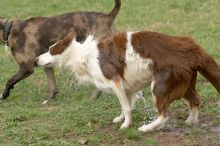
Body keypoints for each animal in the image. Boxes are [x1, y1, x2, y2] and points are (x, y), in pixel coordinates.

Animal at [36, 30, 220, 131]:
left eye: (51, 50)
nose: (36, 59)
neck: (83, 56)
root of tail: (189, 46)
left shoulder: (115, 81)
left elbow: (126, 106)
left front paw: (126, 125)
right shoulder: (128, 86)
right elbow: (128, 106)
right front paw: (121, 118)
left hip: (160, 85)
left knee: (165, 114)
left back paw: (147, 128)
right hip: (184, 83)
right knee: (195, 100)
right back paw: (191, 121)